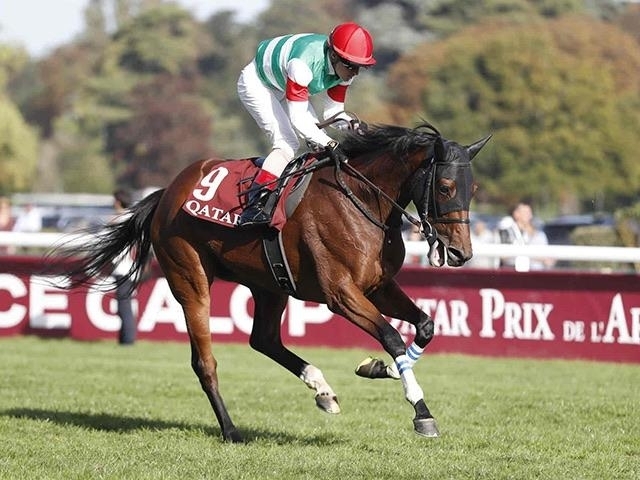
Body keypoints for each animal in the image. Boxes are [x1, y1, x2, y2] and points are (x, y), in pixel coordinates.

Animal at [52, 122, 490, 442]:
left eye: (474, 188)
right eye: (446, 186)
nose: (461, 253)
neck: (362, 199)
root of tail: (167, 194)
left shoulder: (378, 286)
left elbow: (426, 326)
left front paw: (378, 369)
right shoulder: (341, 294)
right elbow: (393, 336)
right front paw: (421, 411)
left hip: (270, 284)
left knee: (262, 339)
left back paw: (322, 389)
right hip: (190, 279)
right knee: (205, 361)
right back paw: (231, 429)